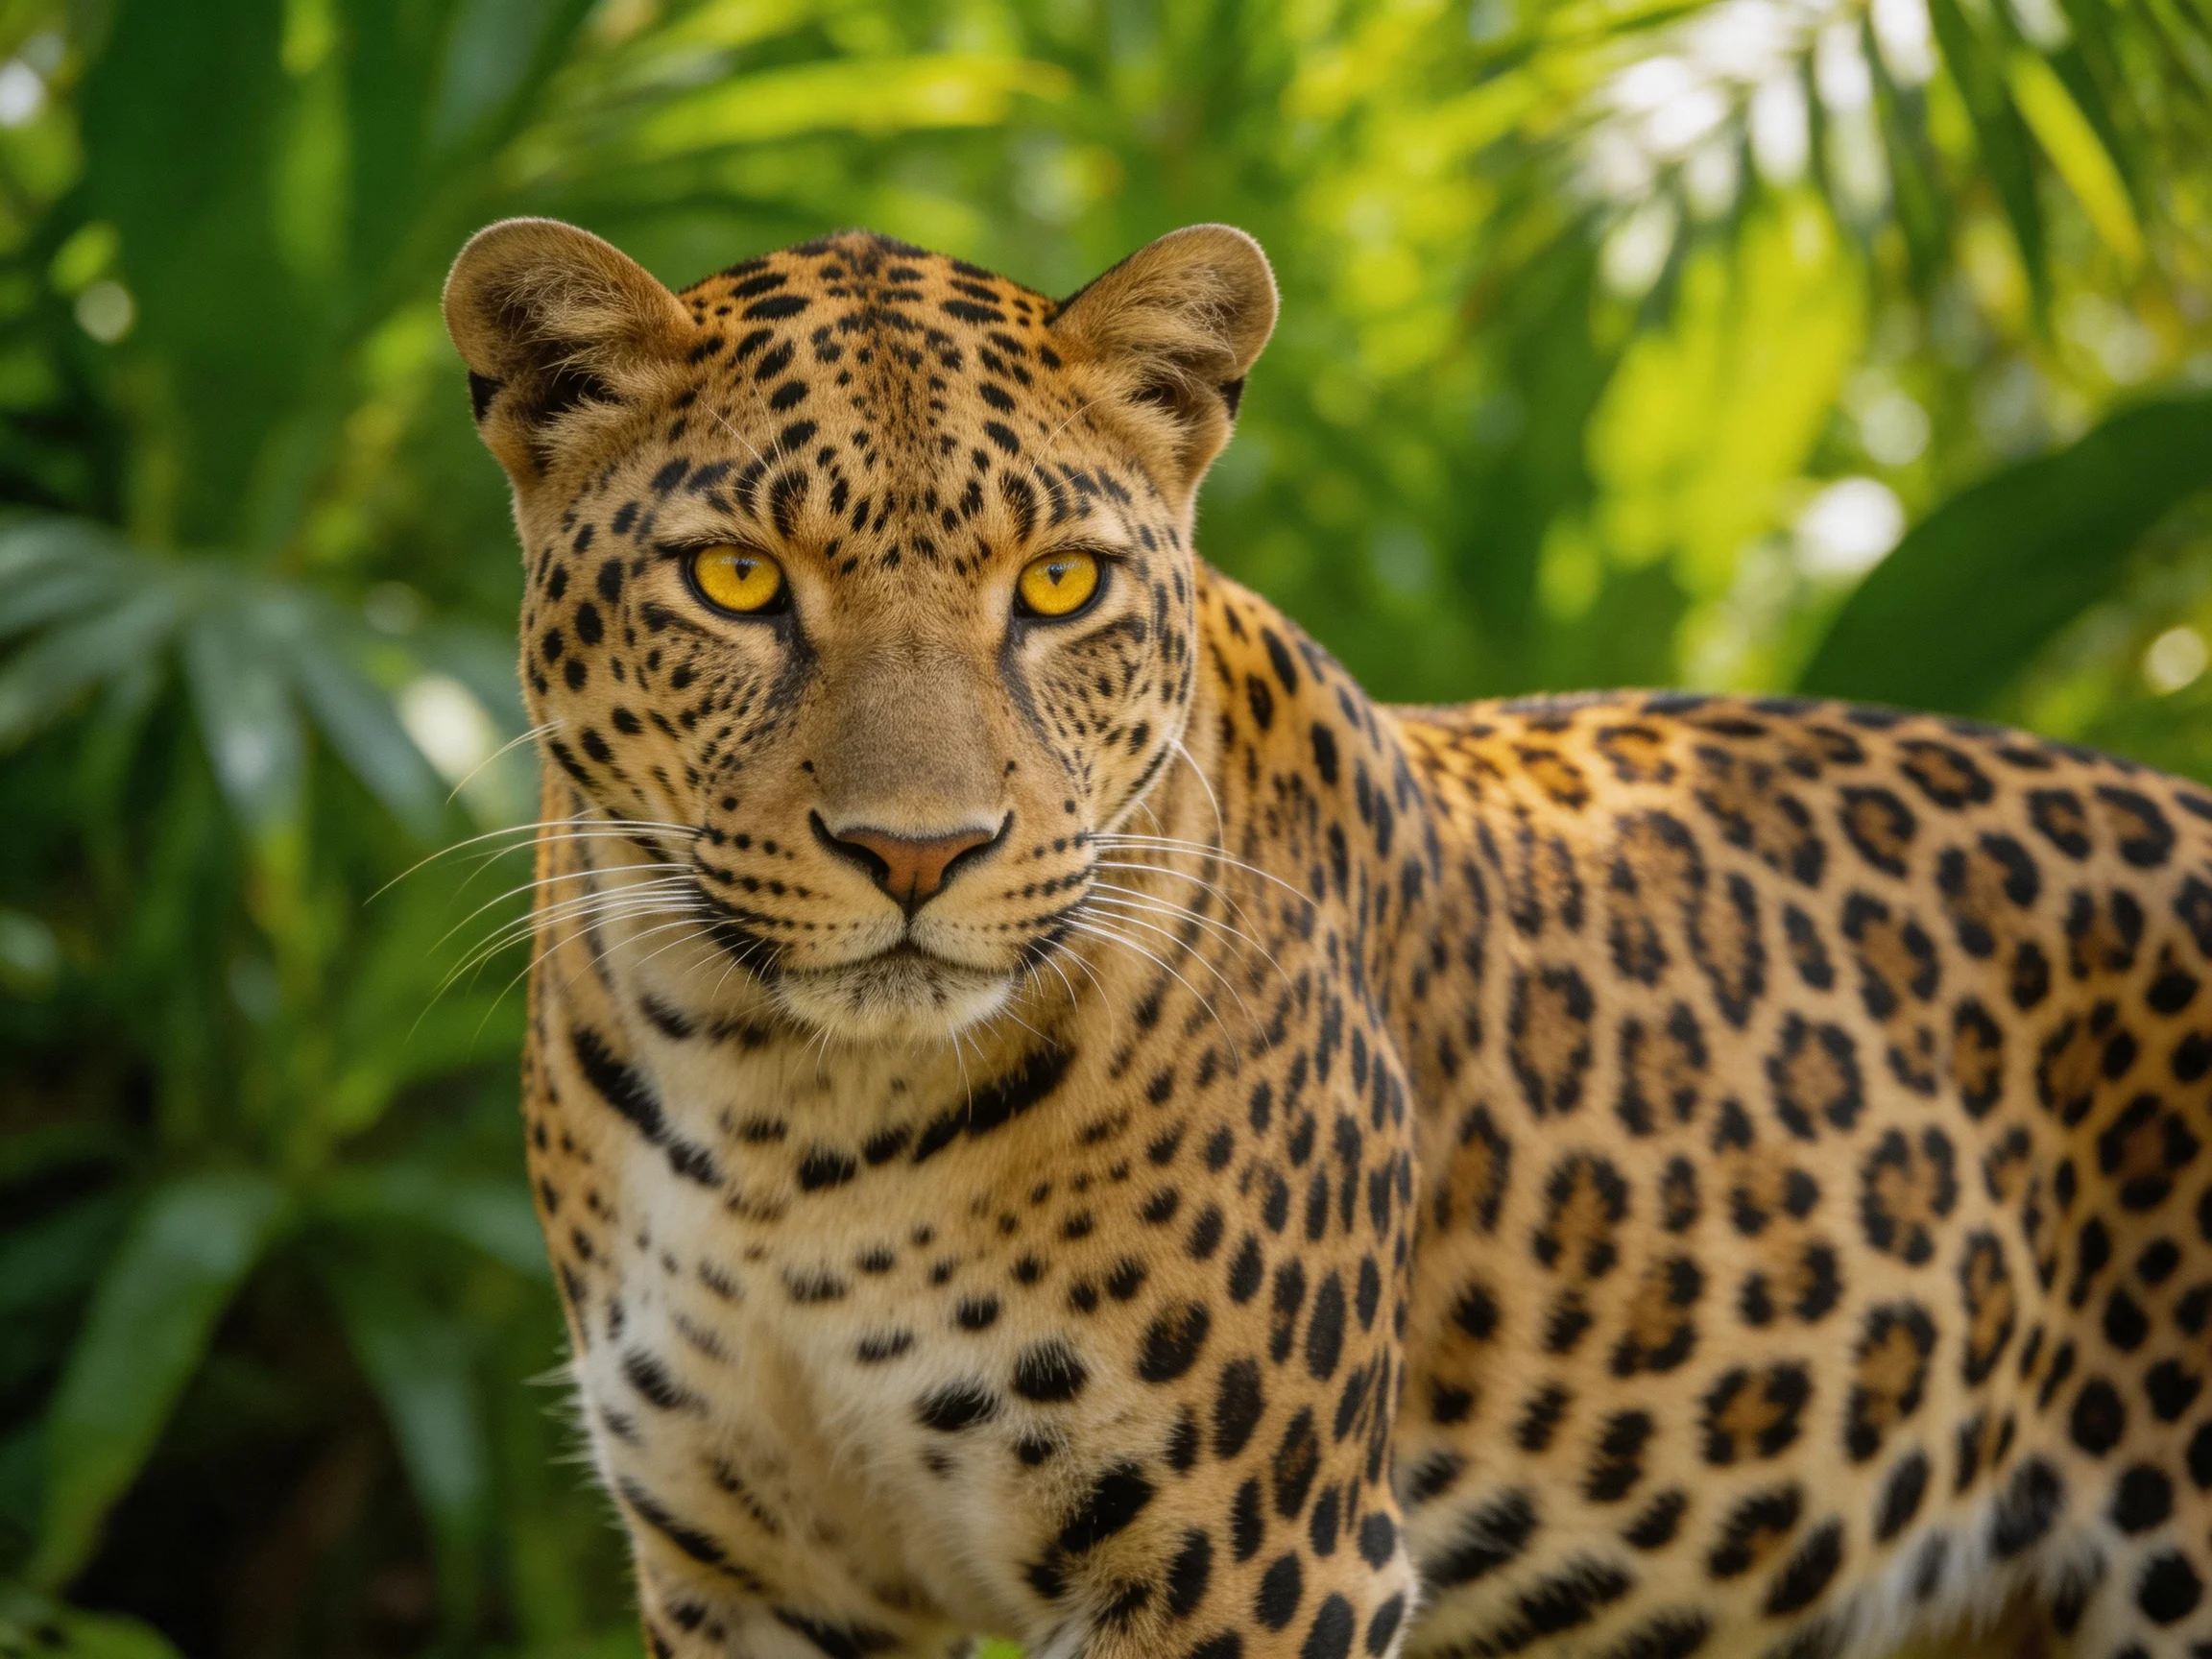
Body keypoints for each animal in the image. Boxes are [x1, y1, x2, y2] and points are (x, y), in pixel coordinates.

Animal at [441, 214, 2212, 1659]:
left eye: (1058, 584)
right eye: (736, 580)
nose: (917, 852)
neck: (785, 1119)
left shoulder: (1248, 1556)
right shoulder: (748, 1567)